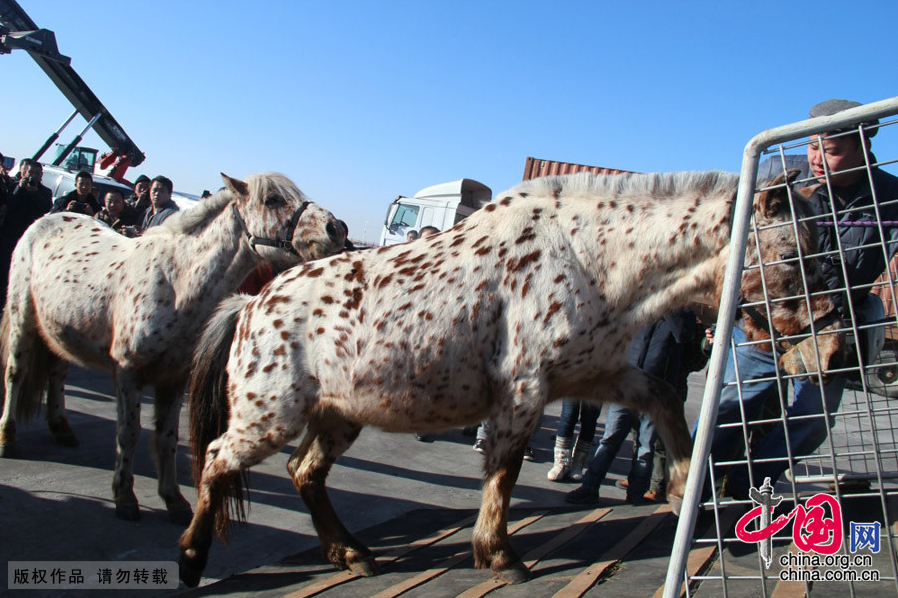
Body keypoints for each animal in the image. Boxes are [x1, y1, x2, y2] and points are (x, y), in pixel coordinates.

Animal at [0, 172, 344, 524]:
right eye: (272, 200)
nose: (336, 228)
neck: (176, 283)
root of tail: (46, 220)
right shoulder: (128, 374)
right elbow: (129, 432)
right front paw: (124, 496)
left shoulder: (173, 379)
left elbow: (166, 437)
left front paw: (173, 499)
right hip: (22, 320)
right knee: (16, 373)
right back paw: (8, 438)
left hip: (59, 331)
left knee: (56, 374)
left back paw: (62, 428)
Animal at [180, 171, 840, 588]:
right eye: (802, 253)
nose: (830, 337)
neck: (585, 256)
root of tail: (253, 301)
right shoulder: (524, 392)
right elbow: (504, 469)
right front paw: (500, 556)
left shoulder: (594, 375)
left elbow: (664, 398)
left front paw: (681, 485)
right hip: (269, 417)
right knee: (216, 459)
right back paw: (191, 558)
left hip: (338, 415)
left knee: (304, 473)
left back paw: (351, 553)